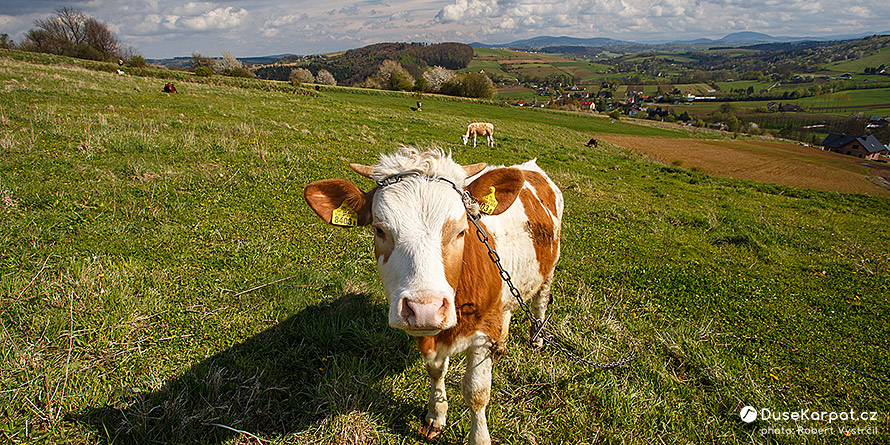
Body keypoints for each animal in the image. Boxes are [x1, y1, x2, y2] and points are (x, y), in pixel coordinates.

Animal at [302, 147, 560, 442]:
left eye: (461, 229)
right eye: (379, 229)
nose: (425, 309)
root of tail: (530, 166)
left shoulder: (482, 335)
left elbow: (477, 393)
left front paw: (479, 438)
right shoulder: (429, 336)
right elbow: (436, 371)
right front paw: (436, 415)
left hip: (550, 267)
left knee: (541, 300)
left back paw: (537, 338)